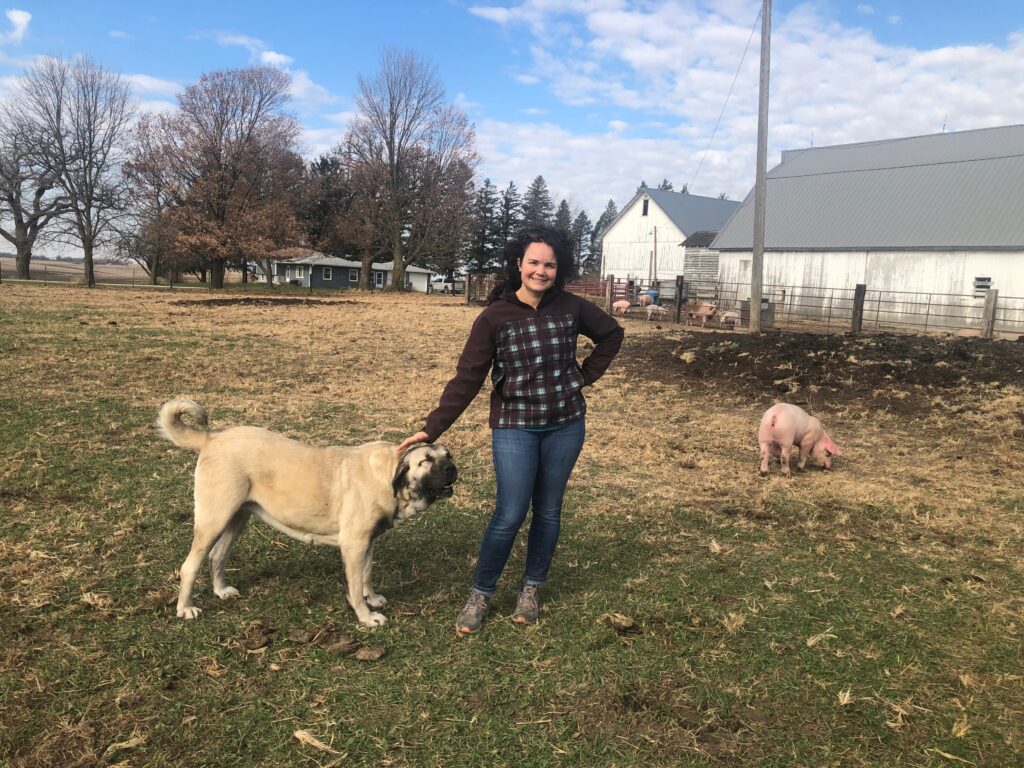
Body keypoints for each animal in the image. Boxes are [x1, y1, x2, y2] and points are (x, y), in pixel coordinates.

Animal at [158, 399, 456, 626]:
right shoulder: (354, 545)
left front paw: (372, 598)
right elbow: (355, 586)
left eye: (448, 455)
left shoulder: (368, 542)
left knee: (217, 556)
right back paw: (185, 608)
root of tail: (211, 438)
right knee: (190, 566)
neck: (388, 473)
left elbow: (367, 574)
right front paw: (366, 616)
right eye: (426, 460)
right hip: (214, 519)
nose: (452, 469)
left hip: (236, 518)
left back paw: (221, 591)